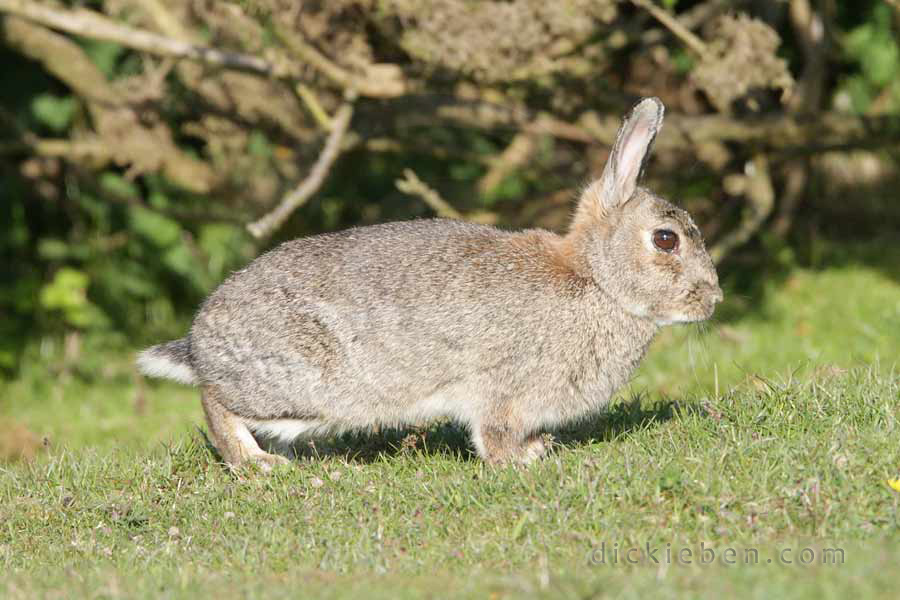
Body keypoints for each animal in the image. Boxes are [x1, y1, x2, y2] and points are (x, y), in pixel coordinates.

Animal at [135, 97, 724, 468]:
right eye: (666, 240)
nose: (713, 299)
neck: (596, 280)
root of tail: (199, 344)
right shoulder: (503, 390)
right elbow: (493, 432)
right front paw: (524, 459)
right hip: (302, 385)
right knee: (217, 402)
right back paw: (257, 463)